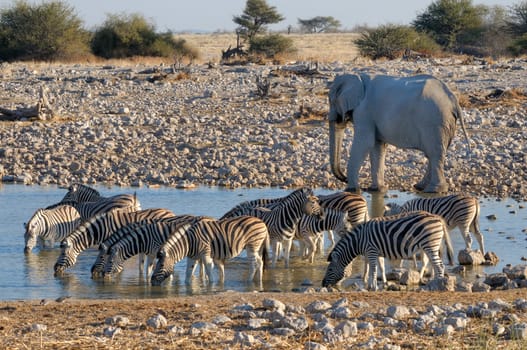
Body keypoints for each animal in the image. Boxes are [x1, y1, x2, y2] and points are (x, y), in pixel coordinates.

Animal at [322, 211, 454, 290]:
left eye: (330, 269)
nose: (323, 284)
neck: (359, 240)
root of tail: (437, 217)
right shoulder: (376, 252)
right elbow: (380, 267)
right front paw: (380, 283)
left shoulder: (371, 251)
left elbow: (373, 270)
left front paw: (373, 287)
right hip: (429, 246)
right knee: (434, 264)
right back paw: (433, 282)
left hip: (430, 245)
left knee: (439, 265)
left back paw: (437, 285)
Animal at [330, 73, 470, 193]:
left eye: (332, 101)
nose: (344, 178)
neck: (357, 77)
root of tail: (453, 99)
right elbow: (377, 146)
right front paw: (377, 190)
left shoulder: (363, 111)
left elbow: (364, 143)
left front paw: (351, 190)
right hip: (444, 123)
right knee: (434, 154)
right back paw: (420, 187)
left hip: (434, 121)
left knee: (434, 153)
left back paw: (433, 190)